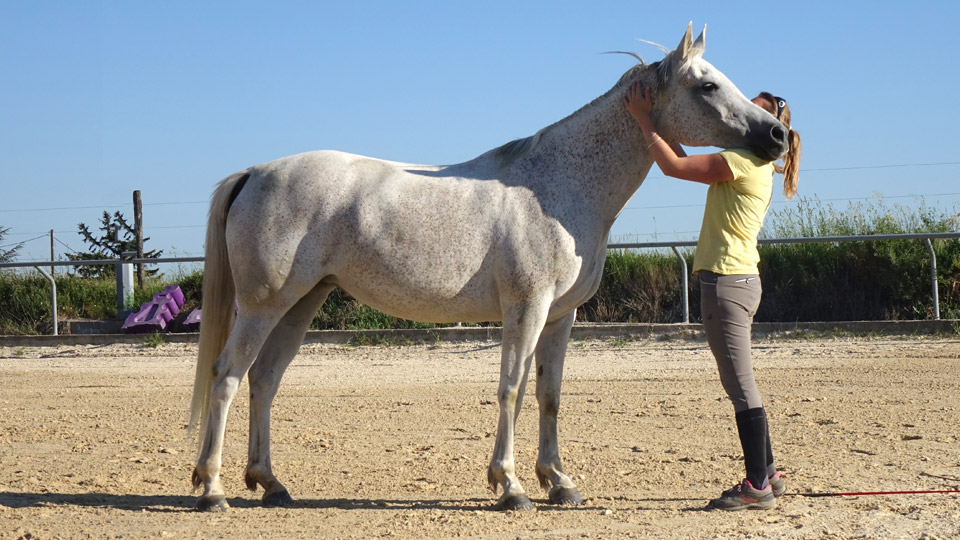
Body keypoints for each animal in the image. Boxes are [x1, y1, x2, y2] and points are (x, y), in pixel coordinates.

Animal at [188, 23, 788, 512]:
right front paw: (511, 486)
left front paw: (559, 483)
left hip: (302, 302)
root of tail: (254, 172)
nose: (778, 134)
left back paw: (270, 483)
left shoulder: (560, 317)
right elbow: (512, 389)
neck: (557, 185)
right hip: (263, 306)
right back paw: (212, 490)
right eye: (707, 85)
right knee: (227, 376)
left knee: (264, 380)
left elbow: (549, 395)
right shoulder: (526, 309)